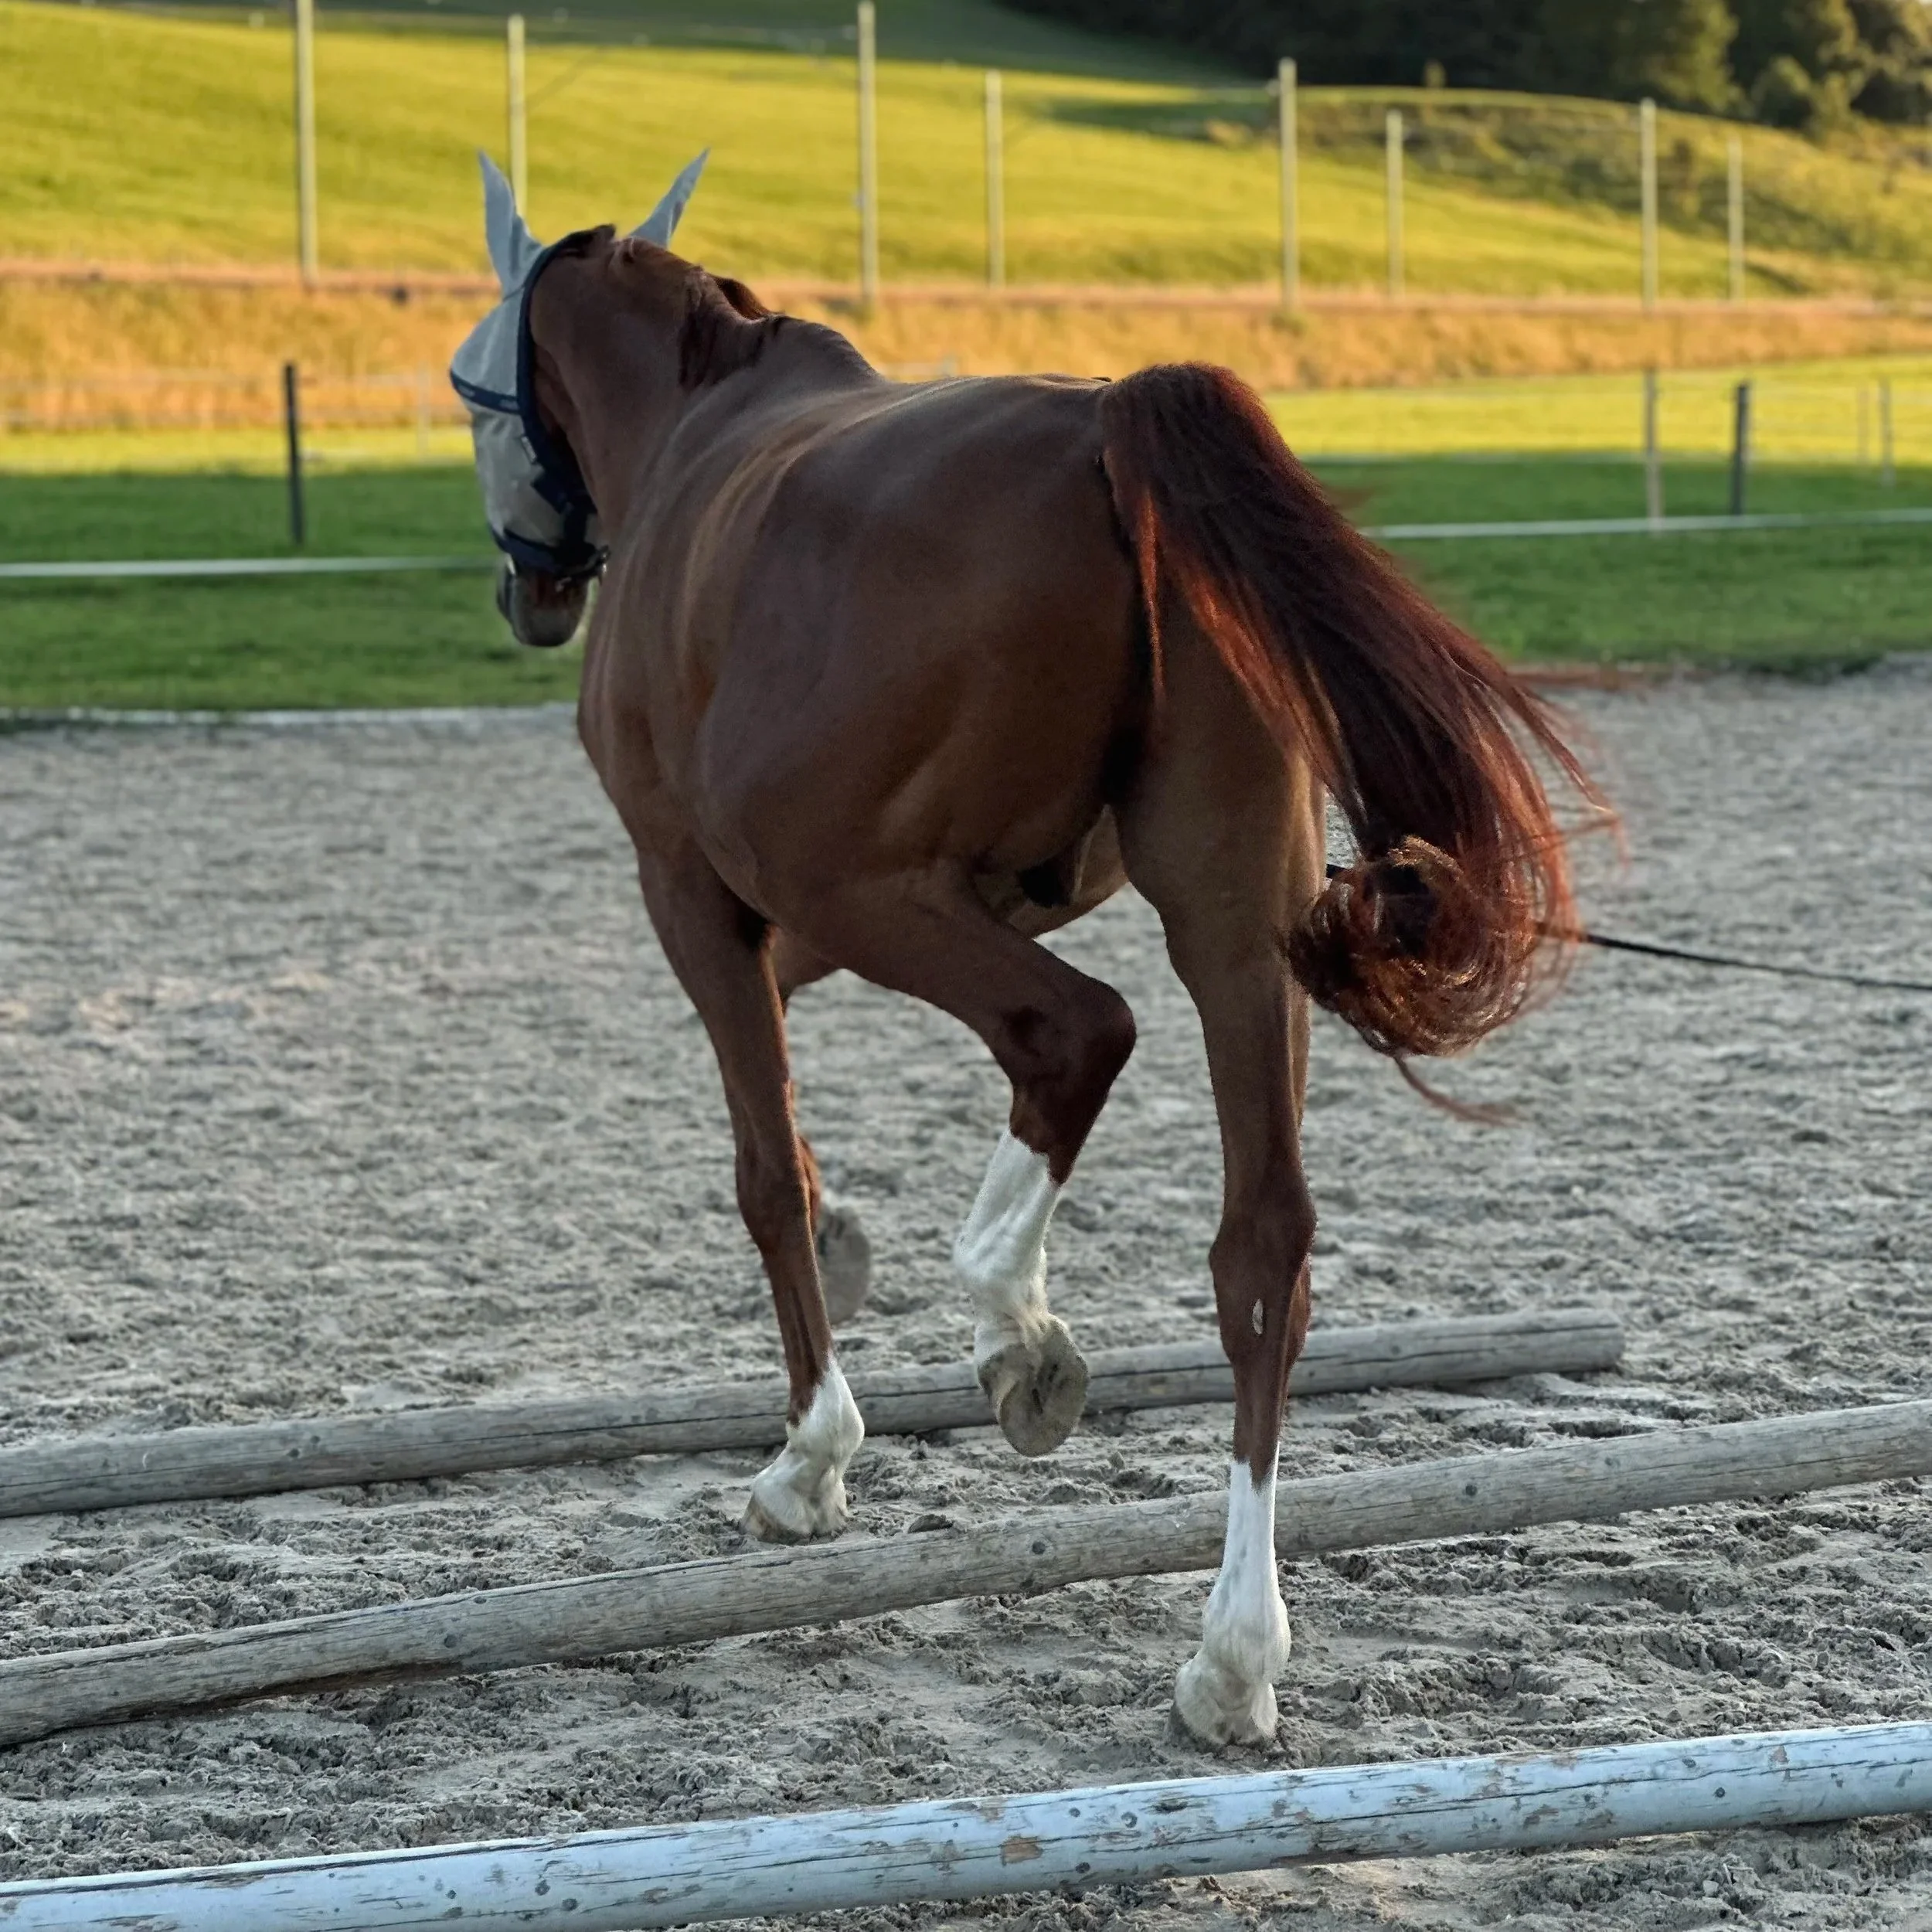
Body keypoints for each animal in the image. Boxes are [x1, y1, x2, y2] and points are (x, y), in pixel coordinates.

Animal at [450, 156, 1594, 1746]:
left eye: (470, 391)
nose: (530, 590)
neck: (697, 426)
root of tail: (1107, 431)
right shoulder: (860, 909)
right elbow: (793, 1072)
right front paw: (853, 1242)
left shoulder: (702, 887)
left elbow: (765, 1159)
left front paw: (810, 1456)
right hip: (1233, 923)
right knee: (1263, 1253)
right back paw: (1232, 1656)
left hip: (895, 894)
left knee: (1077, 1035)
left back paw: (1015, 1329)